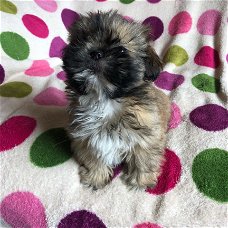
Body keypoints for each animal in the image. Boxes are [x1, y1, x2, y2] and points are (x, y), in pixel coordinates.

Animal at [61, 10, 170, 189]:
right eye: (80, 40)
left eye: (121, 51)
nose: (95, 53)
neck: (105, 100)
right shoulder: (86, 140)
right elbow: (94, 160)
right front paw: (95, 178)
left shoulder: (147, 137)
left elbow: (143, 159)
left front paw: (142, 181)